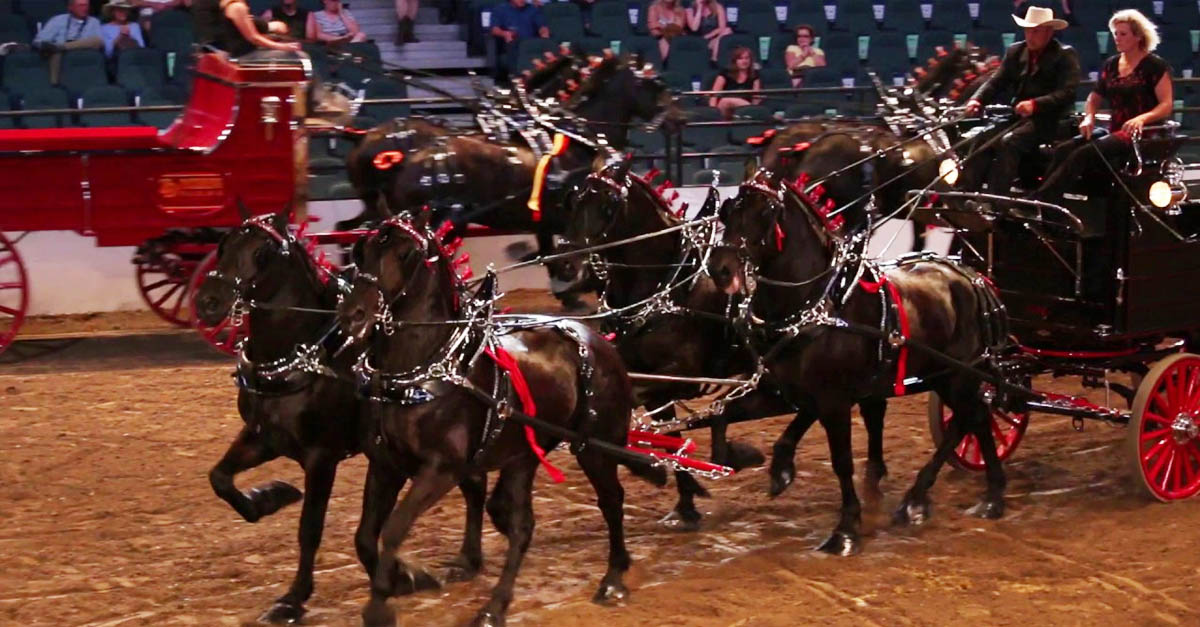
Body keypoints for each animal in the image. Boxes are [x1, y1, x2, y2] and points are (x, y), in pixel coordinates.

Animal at [194, 206, 484, 619]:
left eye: (263, 252)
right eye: (223, 244)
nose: (208, 302)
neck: (302, 350)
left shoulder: (322, 457)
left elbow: (310, 529)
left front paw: (293, 598)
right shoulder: (263, 437)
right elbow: (220, 478)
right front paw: (269, 497)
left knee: (475, 486)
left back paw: (466, 559)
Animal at [338, 211, 667, 624]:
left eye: (406, 254)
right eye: (360, 251)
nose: (354, 316)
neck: (422, 370)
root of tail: (599, 340)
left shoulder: (441, 470)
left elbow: (394, 529)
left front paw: (382, 604)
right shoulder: (385, 465)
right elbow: (365, 536)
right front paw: (407, 579)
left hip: (592, 447)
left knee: (611, 500)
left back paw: (613, 578)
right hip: (523, 455)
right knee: (521, 524)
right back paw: (495, 605)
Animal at [705, 169, 1017, 552]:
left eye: (766, 212)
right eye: (727, 210)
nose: (719, 268)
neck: (815, 305)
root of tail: (972, 277)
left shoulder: (834, 401)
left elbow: (841, 462)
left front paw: (845, 530)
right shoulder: (780, 391)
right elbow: (722, 414)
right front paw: (753, 459)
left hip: (959, 375)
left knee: (976, 419)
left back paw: (987, 497)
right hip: (945, 375)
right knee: (969, 419)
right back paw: (922, 499)